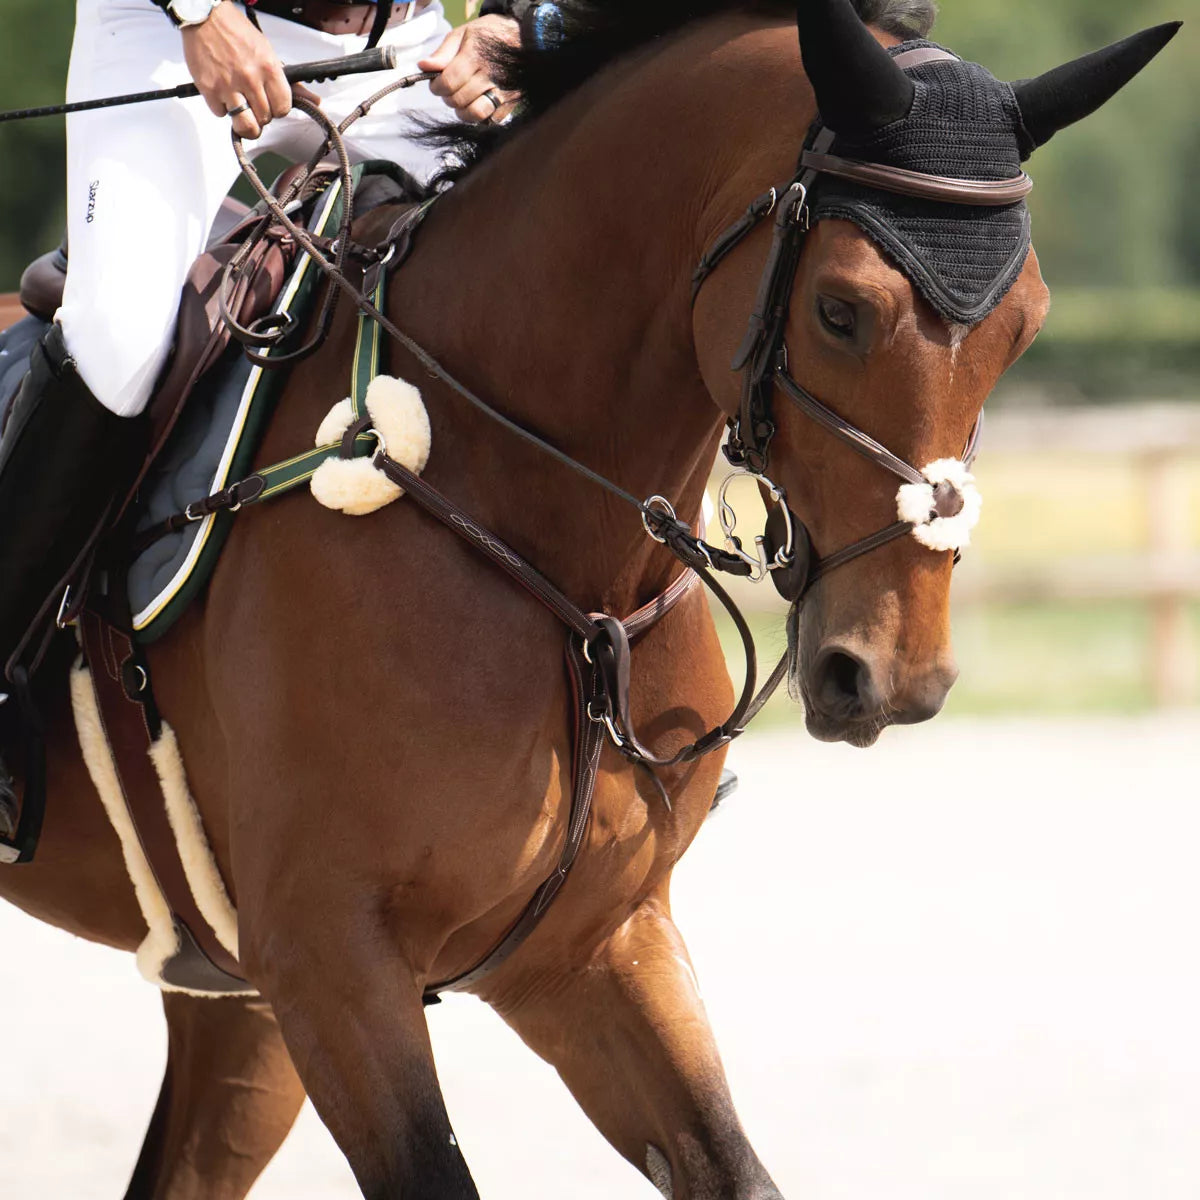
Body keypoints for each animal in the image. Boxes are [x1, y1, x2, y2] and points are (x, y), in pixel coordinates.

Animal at [0, 2, 1176, 1200]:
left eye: (1027, 326)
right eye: (842, 310)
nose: (891, 678)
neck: (557, 563)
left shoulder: (590, 949)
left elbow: (731, 1166)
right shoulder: (332, 965)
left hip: (238, 1006)